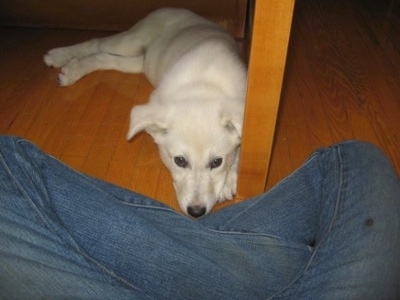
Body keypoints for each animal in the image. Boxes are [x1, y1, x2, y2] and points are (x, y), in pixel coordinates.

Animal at [43, 7, 247, 218]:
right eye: (180, 161)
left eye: (217, 162)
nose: (196, 212)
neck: (203, 88)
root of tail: (171, 8)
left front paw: (230, 178)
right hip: (131, 41)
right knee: (97, 43)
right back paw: (59, 57)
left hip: (141, 62)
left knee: (106, 58)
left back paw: (72, 69)